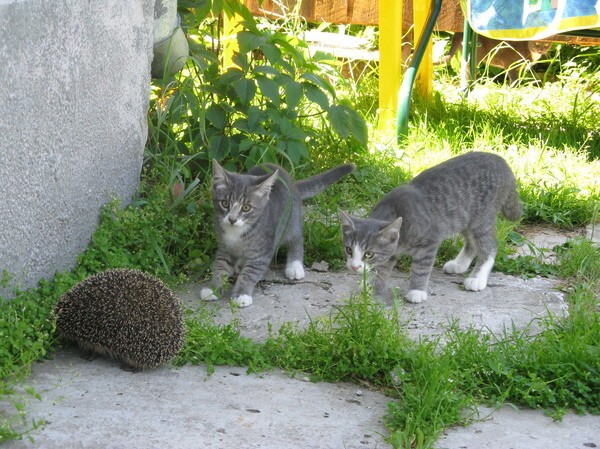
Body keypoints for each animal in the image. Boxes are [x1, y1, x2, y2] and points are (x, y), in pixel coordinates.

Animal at [202, 158, 354, 308]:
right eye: (225, 203)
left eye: (246, 208)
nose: (232, 219)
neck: (237, 232)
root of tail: (293, 183)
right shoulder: (224, 246)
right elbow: (220, 266)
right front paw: (213, 288)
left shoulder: (263, 250)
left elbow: (250, 272)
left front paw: (241, 294)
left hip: (291, 220)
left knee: (296, 238)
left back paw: (294, 265)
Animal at [340, 152, 524, 302]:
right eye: (349, 250)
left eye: (368, 254)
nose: (354, 266)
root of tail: (501, 161)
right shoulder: (390, 252)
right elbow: (381, 269)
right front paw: (371, 288)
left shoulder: (429, 241)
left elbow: (421, 268)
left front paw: (416, 291)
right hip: (463, 218)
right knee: (472, 242)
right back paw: (459, 264)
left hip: (481, 218)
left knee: (489, 246)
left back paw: (477, 278)